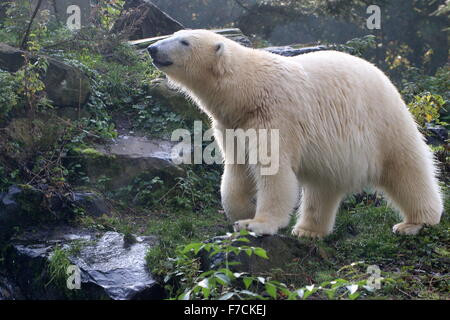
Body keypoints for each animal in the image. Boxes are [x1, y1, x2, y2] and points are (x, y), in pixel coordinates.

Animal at [148, 30, 442, 239]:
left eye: (184, 41)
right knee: (322, 187)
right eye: (174, 33)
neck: (249, 91)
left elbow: (273, 170)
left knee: (407, 169)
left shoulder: (276, 114)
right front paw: (240, 212)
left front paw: (256, 223)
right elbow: (237, 168)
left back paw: (415, 223)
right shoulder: (231, 124)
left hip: (383, 124)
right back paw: (308, 230)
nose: (152, 48)